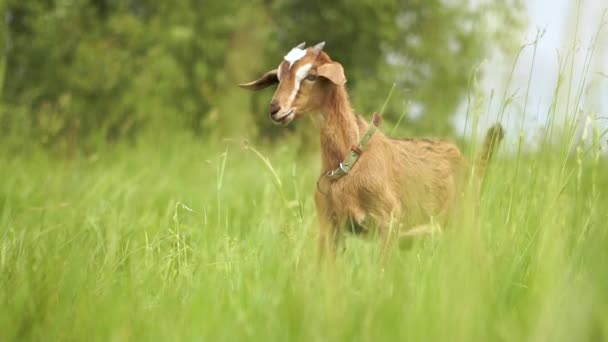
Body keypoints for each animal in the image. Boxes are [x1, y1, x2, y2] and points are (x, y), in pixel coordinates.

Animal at [239, 41, 504, 256]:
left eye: (312, 76)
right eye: (278, 77)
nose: (275, 109)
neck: (347, 161)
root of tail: (470, 165)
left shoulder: (389, 222)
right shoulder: (330, 226)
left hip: (464, 224)